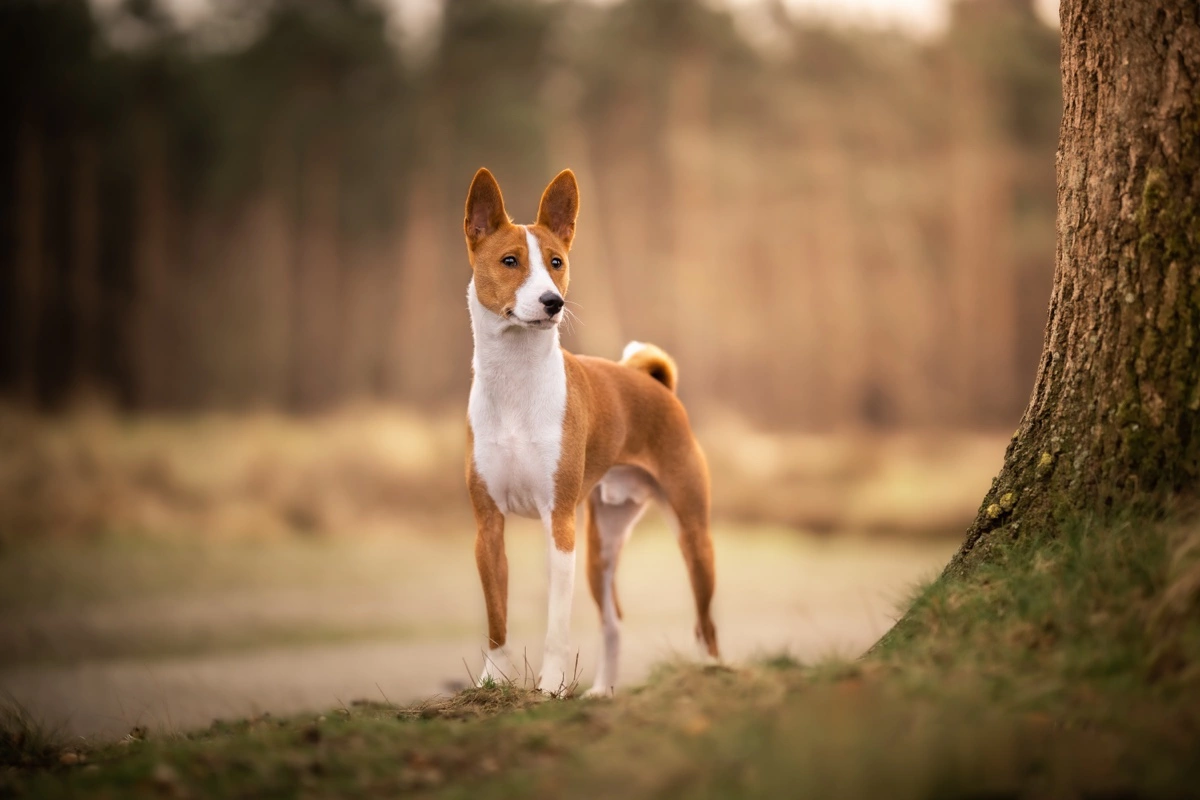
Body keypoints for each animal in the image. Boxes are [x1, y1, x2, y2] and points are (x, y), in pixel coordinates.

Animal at [463, 167, 715, 695]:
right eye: (510, 261)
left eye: (556, 262)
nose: (552, 301)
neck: (515, 386)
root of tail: (655, 384)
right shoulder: (488, 526)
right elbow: (497, 618)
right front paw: (492, 679)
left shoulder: (559, 524)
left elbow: (556, 626)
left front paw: (552, 685)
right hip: (603, 544)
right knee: (614, 622)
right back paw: (602, 692)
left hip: (692, 534)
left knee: (706, 624)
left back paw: (711, 672)